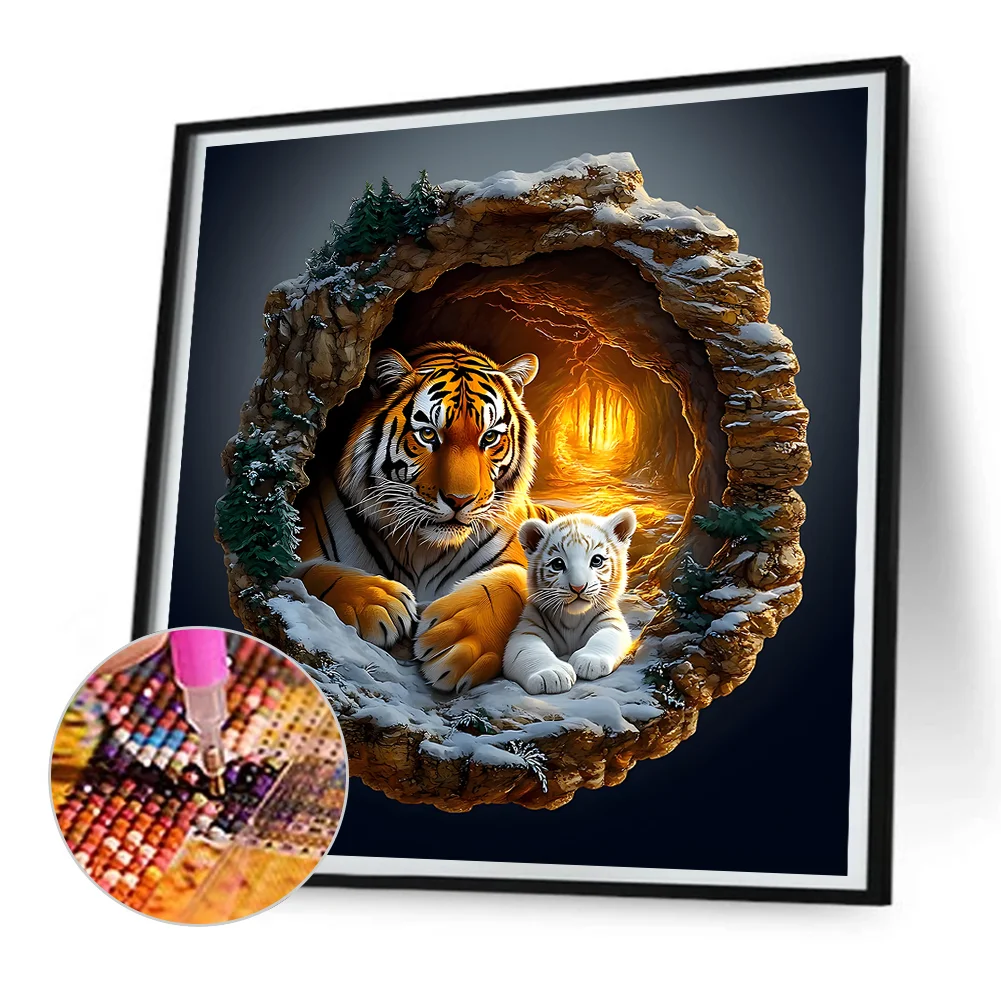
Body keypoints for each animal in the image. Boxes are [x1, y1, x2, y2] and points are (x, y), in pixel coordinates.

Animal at [294, 341, 553, 694]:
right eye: (429, 435)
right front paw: (378, 602)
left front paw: (458, 643)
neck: (421, 547)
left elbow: (510, 585)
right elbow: (307, 573)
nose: (460, 500)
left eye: (489, 438)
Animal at [503, 509, 637, 695]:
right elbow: (530, 651)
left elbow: (604, 638)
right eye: (558, 564)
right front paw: (552, 674)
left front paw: (589, 661)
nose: (578, 587)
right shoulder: (527, 630)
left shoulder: (611, 621)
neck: (572, 618)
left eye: (597, 560)